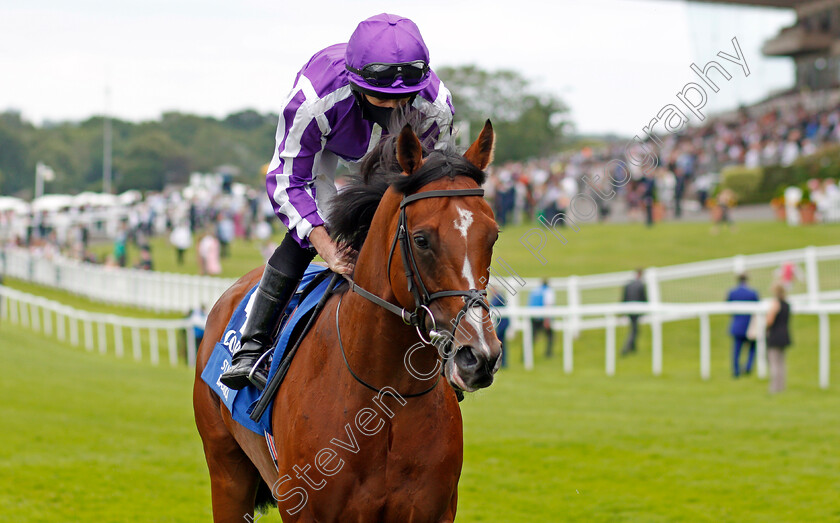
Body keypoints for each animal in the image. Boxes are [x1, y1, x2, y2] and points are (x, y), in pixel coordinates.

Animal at [194, 121, 502, 520]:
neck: (385, 397)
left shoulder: (434, 510)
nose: (478, 356)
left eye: (492, 236)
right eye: (421, 240)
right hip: (227, 471)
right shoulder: (303, 508)